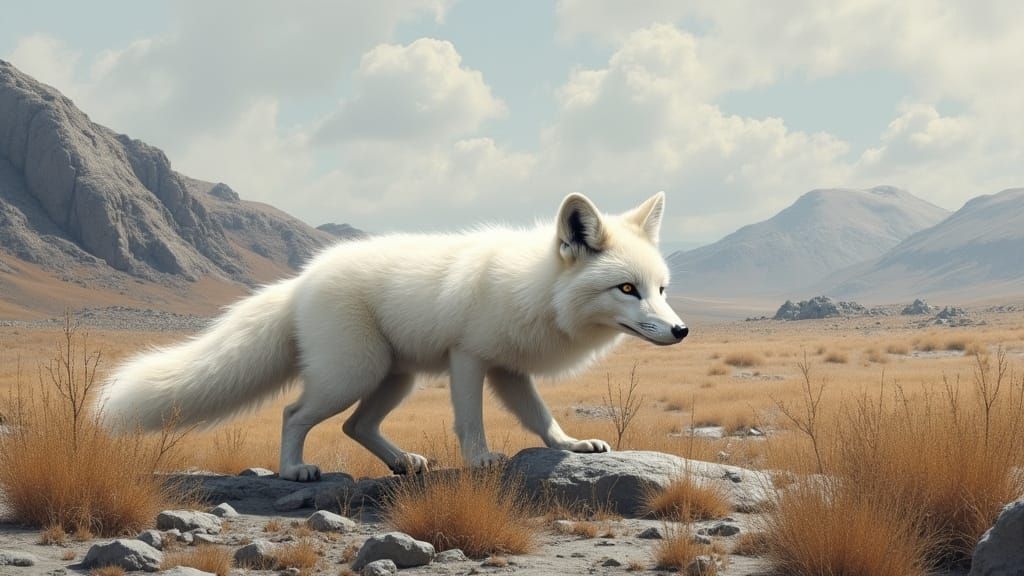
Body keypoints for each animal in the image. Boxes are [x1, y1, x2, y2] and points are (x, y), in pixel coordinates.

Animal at [99, 192, 688, 481]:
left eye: (661, 289)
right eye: (626, 288)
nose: (682, 330)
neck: (538, 287)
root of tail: (299, 281)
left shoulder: (509, 369)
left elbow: (540, 418)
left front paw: (571, 445)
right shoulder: (468, 357)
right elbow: (470, 421)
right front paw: (480, 461)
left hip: (393, 378)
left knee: (356, 426)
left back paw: (402, 463)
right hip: (351, 374)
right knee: (294, 413)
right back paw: (293, 471)